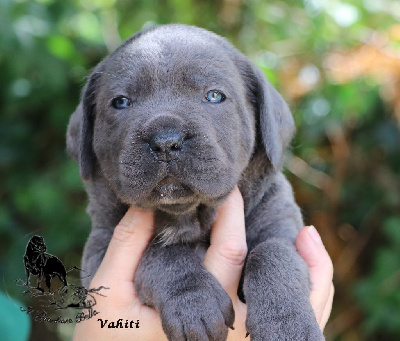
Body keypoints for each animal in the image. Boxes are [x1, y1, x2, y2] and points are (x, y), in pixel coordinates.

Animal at [66, 24, 324, 340]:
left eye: (214, 96)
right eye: (121, 102)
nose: (165, 141)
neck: (187, 215)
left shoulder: (281, 223)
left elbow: (273, 254)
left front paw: (288, 325)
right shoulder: (101, 247)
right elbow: (161, 253)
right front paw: (194, 302)